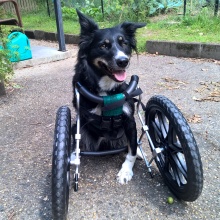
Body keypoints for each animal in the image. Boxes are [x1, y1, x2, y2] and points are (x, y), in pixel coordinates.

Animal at [72, 9, 146, 184]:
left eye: (123, 43)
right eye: (103, 45)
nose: (123, 61)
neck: (107, 91)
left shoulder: (129, 121)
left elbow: (132, 151)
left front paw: (126, 171)